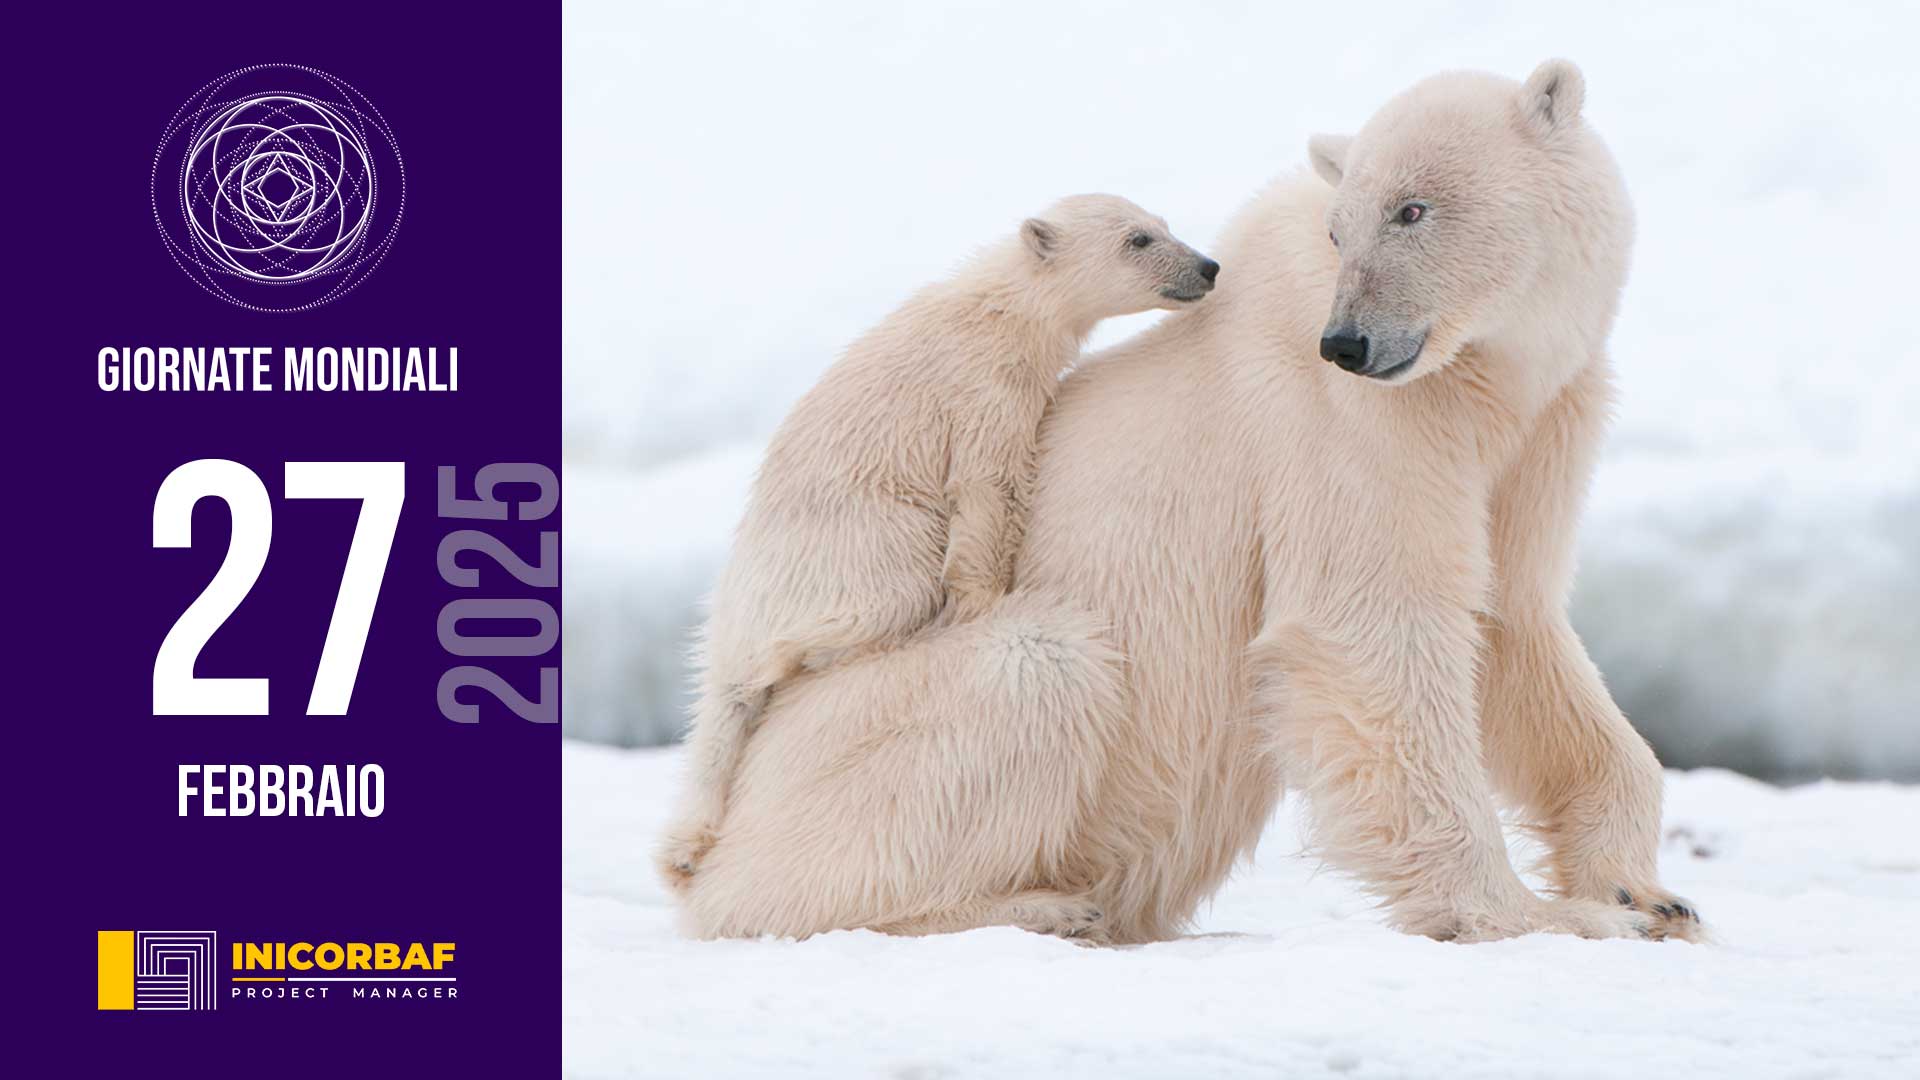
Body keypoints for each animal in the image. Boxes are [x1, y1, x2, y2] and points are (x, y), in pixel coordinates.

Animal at [655, 194, 1220, 890]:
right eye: (1138, 239)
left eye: (1165, 225)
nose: (1207, 266)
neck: (1001, 308)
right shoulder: (983, 390)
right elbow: (987, 486)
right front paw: (984, 600)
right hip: (857, 545)